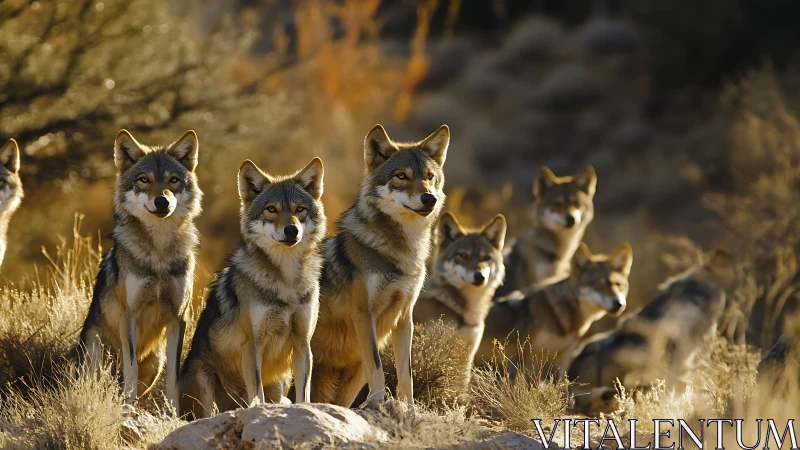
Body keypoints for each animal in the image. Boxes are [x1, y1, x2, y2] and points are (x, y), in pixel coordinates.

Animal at [78, 130, 202, 411]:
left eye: (173, 180)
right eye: (144, 180)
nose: (162, 201)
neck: (158, 253)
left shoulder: (179, 317)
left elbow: (174, 377)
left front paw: (172, 412)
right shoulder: (129, 315)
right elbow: (131, 368)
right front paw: (128, 407)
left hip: (156, 361)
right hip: (95, 352)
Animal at [179, 158, 326, 419]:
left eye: (299, 209)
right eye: (271, 209)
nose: (291, 230)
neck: (286, 282)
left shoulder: (303, 344)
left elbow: (304, 395)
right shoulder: (252, 344)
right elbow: (257, 392)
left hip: (280, 381)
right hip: (204, 382)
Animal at [310, 124, 449, 407]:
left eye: (429, 176)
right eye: (401, 176)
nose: (428, 198)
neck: (402, 252)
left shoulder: (405, 317)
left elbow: (406, 373)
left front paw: (408, 409)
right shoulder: (364, 314)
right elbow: (377, 367)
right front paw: (376, 403)